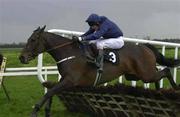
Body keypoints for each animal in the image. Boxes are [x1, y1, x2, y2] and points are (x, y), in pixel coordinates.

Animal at [19, 26, 179, 116]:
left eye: (33, 40)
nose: (22, 57)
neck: (68, 52)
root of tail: (145, 46)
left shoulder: (70, 80)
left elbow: (50, 92)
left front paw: (35, 111)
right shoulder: (65, 80)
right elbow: (51, 91)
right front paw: (46, 111)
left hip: (145, 74)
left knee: (165, 70)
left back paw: (175, 88)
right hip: (134, 75)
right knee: (159, 73)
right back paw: (159, 91)